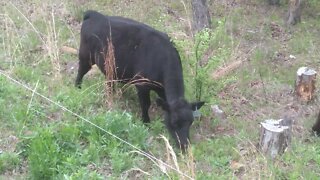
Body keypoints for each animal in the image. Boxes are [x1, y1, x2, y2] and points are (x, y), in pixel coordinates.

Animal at [76, 9, 204, 150]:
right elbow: (145, 104)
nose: (184, 145)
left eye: (190, 122)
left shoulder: (161, 89)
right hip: (85, 56)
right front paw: (146, 122)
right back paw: (77, 88)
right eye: (174, 122)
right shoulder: (142, 84)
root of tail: (94, 14)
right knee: (81, 71)